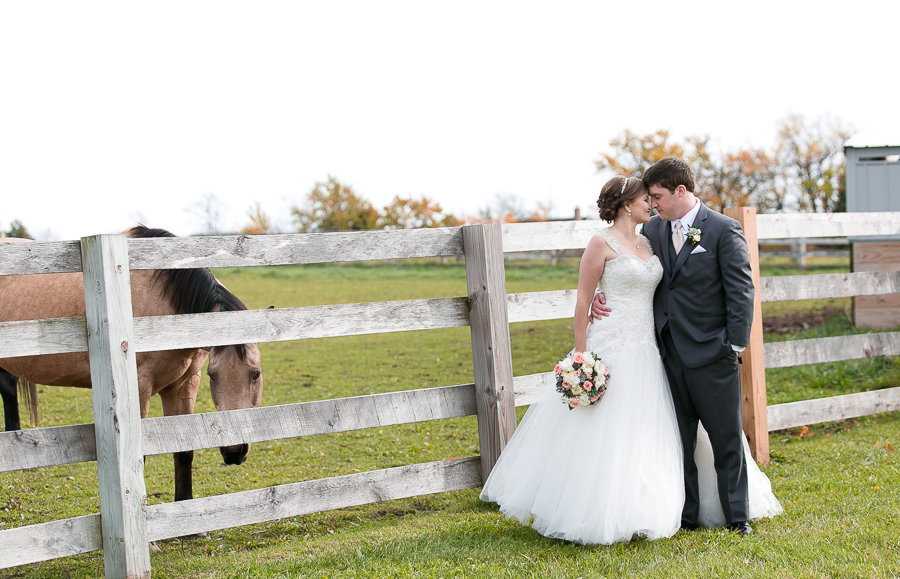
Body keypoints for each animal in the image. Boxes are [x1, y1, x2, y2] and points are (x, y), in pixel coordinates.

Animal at [0, 227, 264, 502]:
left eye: (255, 374)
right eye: (214, 375)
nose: (234, 451)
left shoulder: (183, 385)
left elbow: (183, 451)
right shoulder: (139, 389)